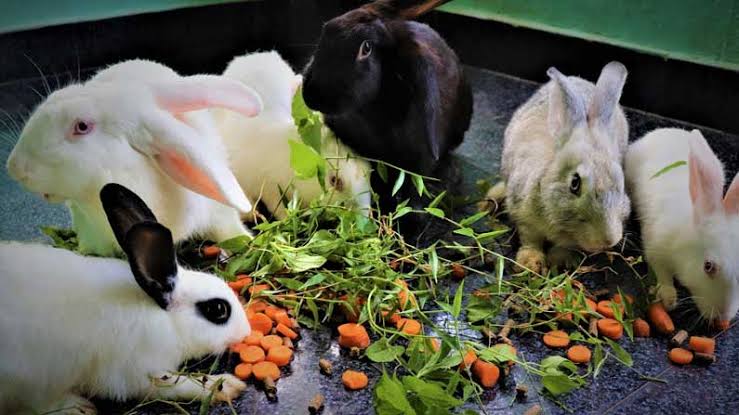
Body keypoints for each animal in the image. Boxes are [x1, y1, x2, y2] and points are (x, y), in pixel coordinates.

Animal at [0, 183, 250, 415]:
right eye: (218, 309)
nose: (246, 332)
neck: (166, 321)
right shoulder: (134, 372)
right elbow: (175, 384)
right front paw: (227, 386)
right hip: (27, 376)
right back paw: (77, 407)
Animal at [214, 51, 371, 220]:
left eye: (368, 172)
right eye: (335, 181)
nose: (364, 216)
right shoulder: (269, 187)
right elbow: (277, 207)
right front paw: (286, 218)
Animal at [490, 62, 631, 274]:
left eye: (620, 182)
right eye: (575, 183)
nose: (608, 240)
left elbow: (563, 247)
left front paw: (560, 261)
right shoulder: (523, 215)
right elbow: (530, 239)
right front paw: (530, 264)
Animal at [625, 128, 739, 321]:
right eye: (708, 266)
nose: (724, 317)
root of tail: (668, 130)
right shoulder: (656, 249)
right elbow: (662, 274)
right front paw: (669, 299)